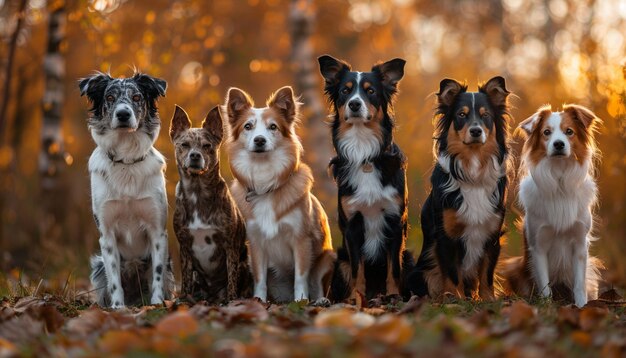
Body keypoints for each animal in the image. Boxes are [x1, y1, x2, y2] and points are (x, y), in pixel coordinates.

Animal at [80, 72, 176, 308]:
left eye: (136, 97)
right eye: (110, 97)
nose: (123, 114)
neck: (127, 162)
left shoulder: (157, 231)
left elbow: (157, 273)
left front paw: (157, 303)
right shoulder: (106, 236)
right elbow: (114, 279)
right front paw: (117, 308)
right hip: (98, 266)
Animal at [320, 54, 412, 300]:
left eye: (370, 91)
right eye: (345, 90)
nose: (354, 104)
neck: (364, 153)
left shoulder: (394, 220)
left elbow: (394, 268)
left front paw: (394, 296)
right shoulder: (352, 223)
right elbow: (356, 269)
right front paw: (355, 298)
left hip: (409, 256)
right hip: (339, 258)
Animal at [502, 104, 600, 308]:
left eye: (569, 131)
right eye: (546, 132)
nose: (559, 144)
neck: (559, 176)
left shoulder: (580, 244)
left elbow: (579, 285)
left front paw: (581, 307)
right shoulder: (539, 244)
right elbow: (545, 286)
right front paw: (546, 307)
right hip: (514, 266)